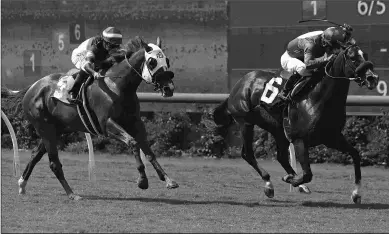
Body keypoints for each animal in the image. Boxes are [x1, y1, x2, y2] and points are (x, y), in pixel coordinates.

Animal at [4, 35, 177, 200]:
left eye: (167, 60)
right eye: (152, 61)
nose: (169, 88)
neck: (117, 85)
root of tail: (32, 87)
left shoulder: (135, 122)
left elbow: (148, 150)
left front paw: (168, 180)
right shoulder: (106, 124)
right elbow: (133, 143)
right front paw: (142, 180)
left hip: (56, 130)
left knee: (35, 155)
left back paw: (22, 185)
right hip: (44, 128)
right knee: (54, 164)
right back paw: (72, 194)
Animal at [212, 44, 378, 203]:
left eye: (365, 55)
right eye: (353, 58)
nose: (372, 78)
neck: (319, 98)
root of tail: (241, 82)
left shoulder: (332, 137)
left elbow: (355, 155)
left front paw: (356, 194)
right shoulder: (300, 139)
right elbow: (308, 174)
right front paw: (290, 179)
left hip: (278, 130)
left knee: (281, 157)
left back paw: (296, 182)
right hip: (245, 123)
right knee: (248, 154)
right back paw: (269, 184)